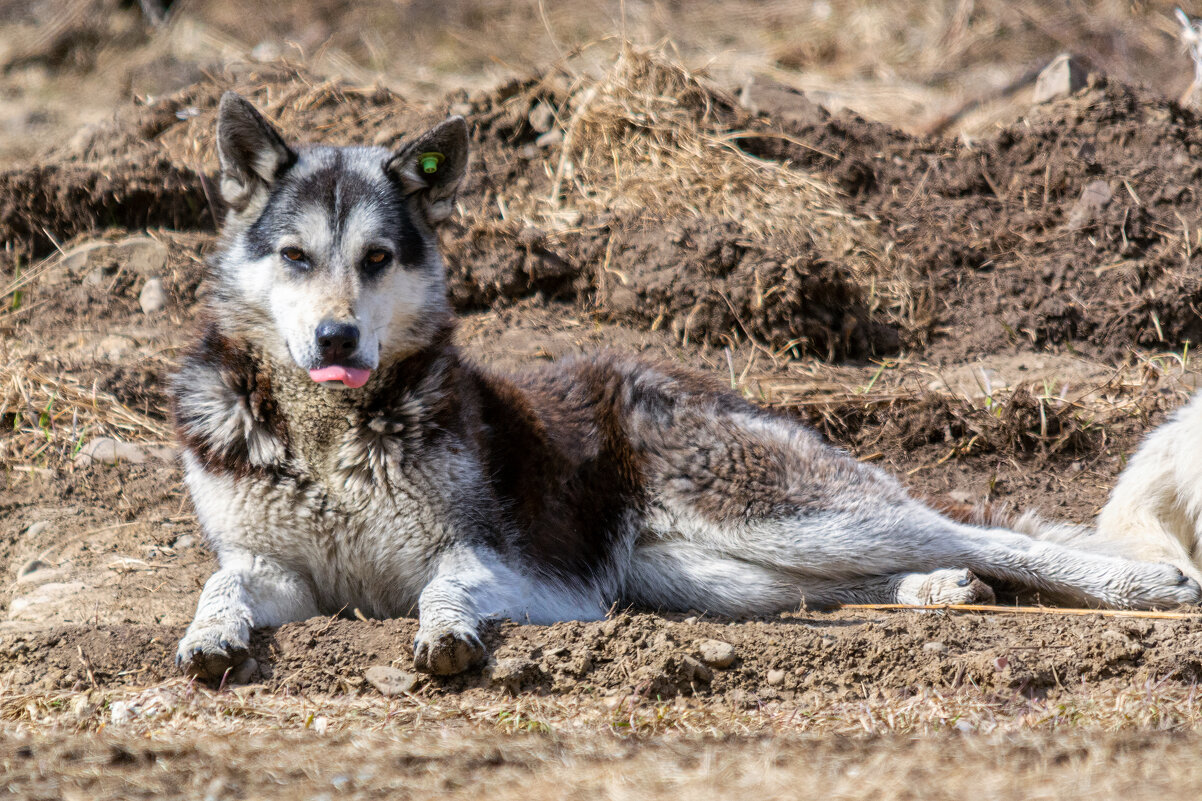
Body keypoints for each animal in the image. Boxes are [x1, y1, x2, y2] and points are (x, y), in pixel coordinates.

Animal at [174, 95, 1197, 678]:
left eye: (378, 258)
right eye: (297, 257)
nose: (335, 335)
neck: (328, 436)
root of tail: (678, 377)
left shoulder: (489, 559)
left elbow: (443, 591)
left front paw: (449, 637)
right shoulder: (274, 567)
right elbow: (222, 583)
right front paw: (211, 638)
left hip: (785, 518)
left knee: (986, 534)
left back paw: (1145, 585)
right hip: (706, 573)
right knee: (865, 577)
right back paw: (938, 589)